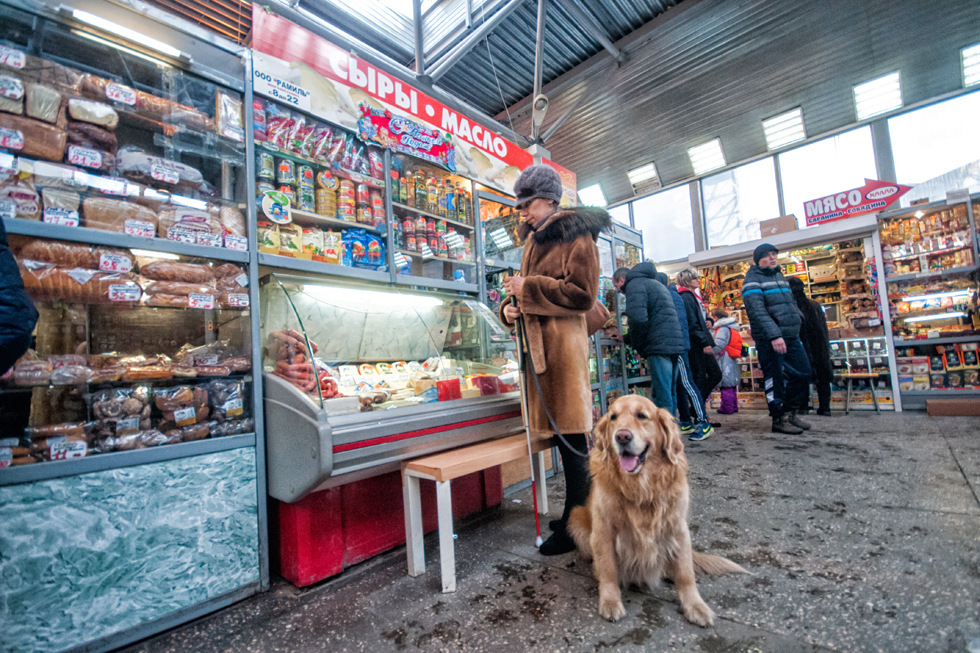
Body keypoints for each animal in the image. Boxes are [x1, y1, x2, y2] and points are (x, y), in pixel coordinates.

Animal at [572, 392, 748, 628]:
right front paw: (609, 601)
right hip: (576, 517)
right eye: (613, 417)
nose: (622, 437)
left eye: (641, 415)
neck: (642, 486)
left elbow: (686, 573)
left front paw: (695, 605)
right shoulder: (603, 530)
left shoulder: (678, 528)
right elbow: (608, 569)